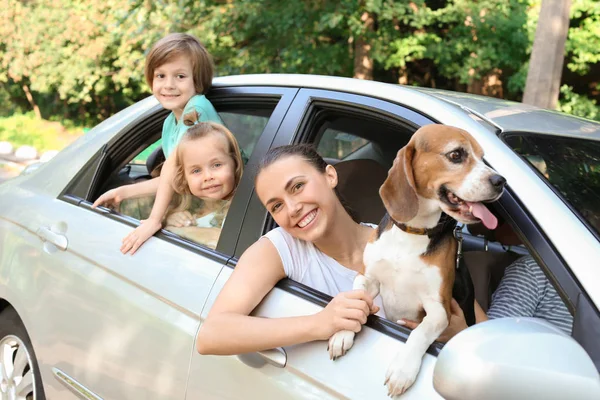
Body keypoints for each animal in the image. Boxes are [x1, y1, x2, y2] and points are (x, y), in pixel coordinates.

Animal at [330, 125, 504, 396]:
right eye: (456, 155)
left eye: (482, 157)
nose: (500, 181)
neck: (413, 233)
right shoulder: (368, 278)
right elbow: (356, 295)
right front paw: (342, 332)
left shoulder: (438, 308)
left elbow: (419, 333)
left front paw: (402, 369)